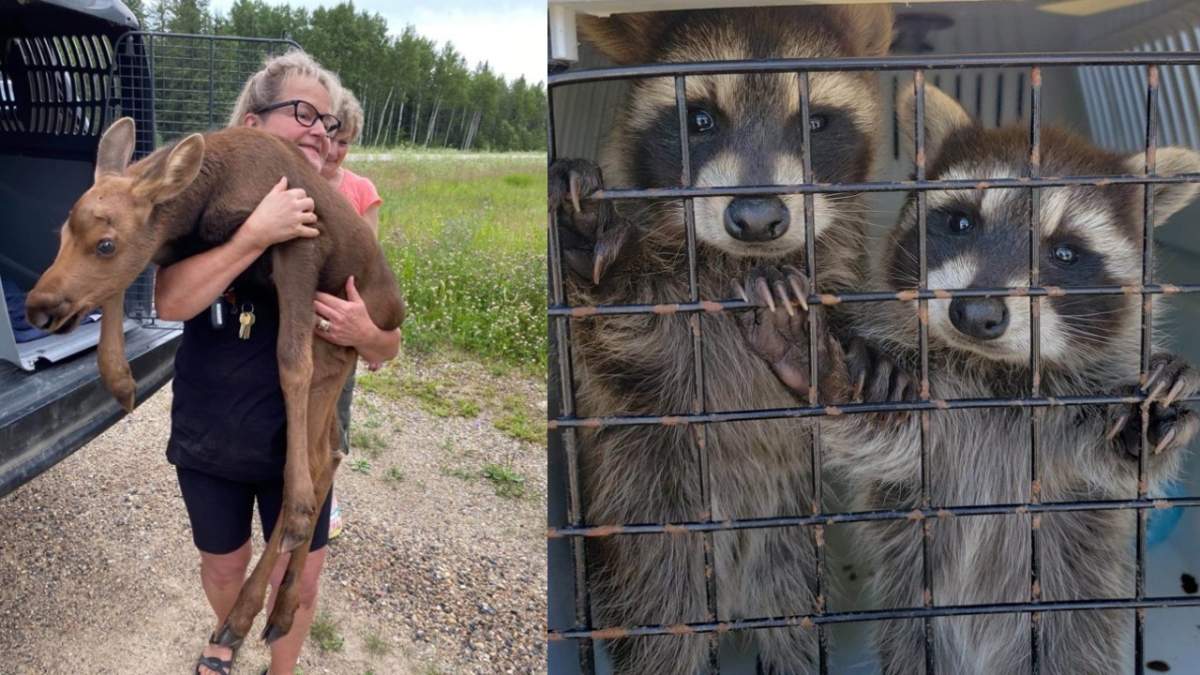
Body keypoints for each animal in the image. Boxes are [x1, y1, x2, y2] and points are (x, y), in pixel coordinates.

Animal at [549, 6, 892, 673]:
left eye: (815, 122)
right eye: (700, 119)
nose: (757, 219)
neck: (742, 264)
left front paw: (838, 362)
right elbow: (624, 343)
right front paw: (594, 248)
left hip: (794, 561)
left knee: (797, 636)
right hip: (652, 547)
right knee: (663, 641)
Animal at [737, 82, 1200, 674]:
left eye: (1065, 252)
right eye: (961, 223)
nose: (976, 314)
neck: (994, 371)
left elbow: (1108, 462)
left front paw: (1145, 422)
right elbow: (888, 440)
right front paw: (828, 369)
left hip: (1075, 629)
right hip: (910, 632)